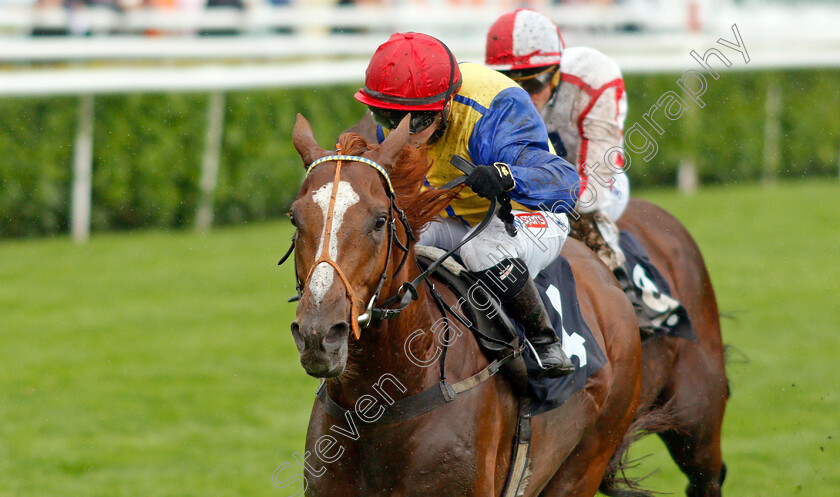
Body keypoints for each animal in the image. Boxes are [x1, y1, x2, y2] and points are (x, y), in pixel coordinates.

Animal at [288, 112, 644, 496]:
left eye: (380, 220)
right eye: (294, 217)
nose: (319, 335)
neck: (379, 403)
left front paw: (491, 177)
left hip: (588, 459)